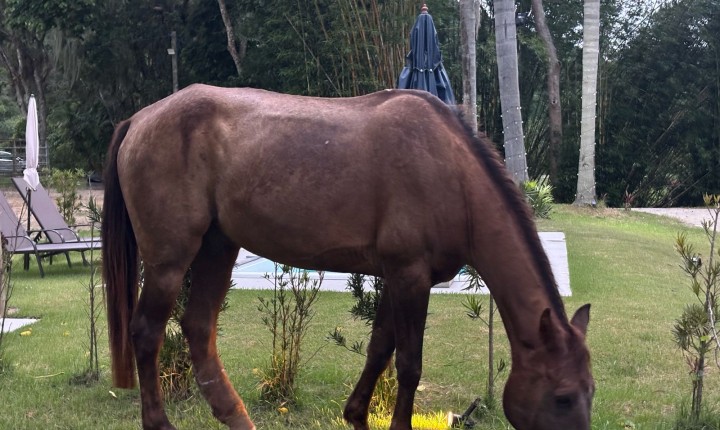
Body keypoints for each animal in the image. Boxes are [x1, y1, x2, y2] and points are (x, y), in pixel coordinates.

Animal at [102, 84, 593, 430]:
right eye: (563, 396)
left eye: (590, 391)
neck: (451, 173)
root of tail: (139, 119)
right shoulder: (409, 276)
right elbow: (408, 364)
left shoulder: (400, 277)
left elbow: (379, 350)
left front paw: (356, 414)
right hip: (170, 260)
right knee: (147, 331)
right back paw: (160, 423)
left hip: (217, 248)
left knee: (199, 329)